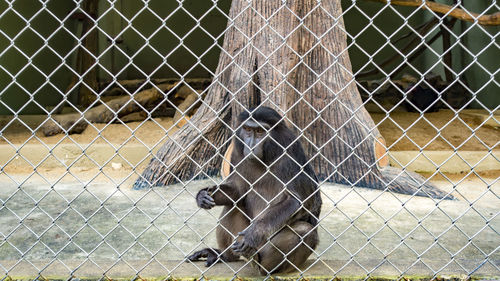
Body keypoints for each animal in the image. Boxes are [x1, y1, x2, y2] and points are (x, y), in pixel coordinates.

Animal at [186, 105, 322, 274]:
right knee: (233, 206)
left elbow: (296, 201)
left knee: (305, 231)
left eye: (259, 131)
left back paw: (261, 265)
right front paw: (203, 195)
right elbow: (238, 189)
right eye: (248, 129)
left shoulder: (289, 153)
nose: (250, 143)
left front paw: (254, 234)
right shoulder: (237, 152)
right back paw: (225, 256)